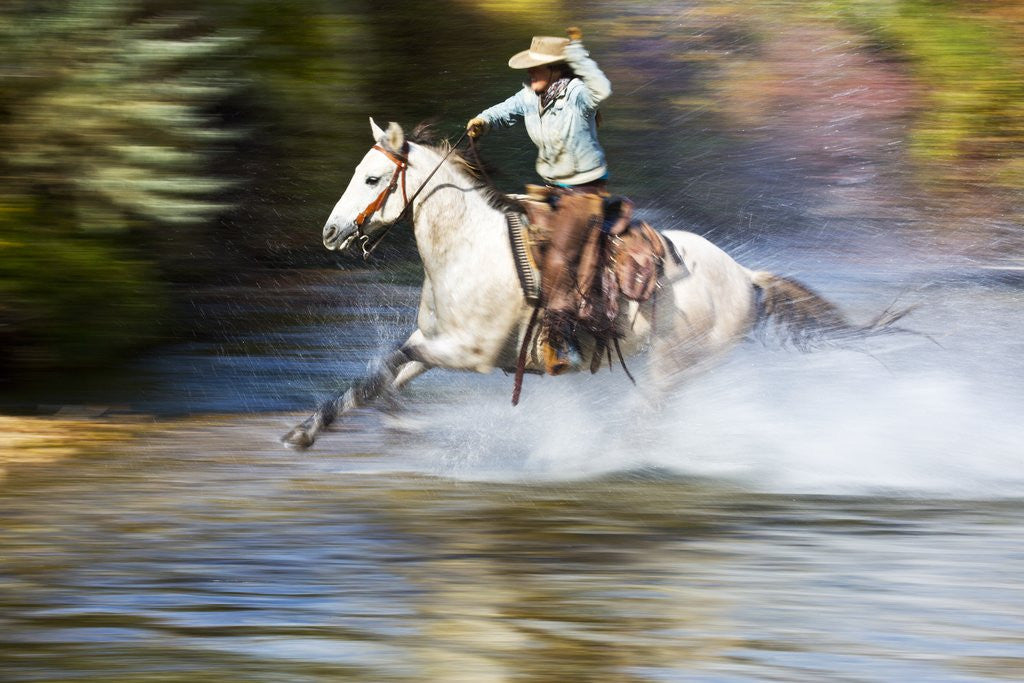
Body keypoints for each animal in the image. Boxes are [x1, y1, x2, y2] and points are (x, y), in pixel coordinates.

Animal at [282, 118, 905, 449]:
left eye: (373, 178)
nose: (331, 232)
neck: (469, 251)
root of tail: (745, 278)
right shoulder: (435, 344)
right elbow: (383, 374)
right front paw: (308, 431)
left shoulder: (468, 352)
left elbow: (383, 368)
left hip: (672, 366)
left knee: (646, 417)